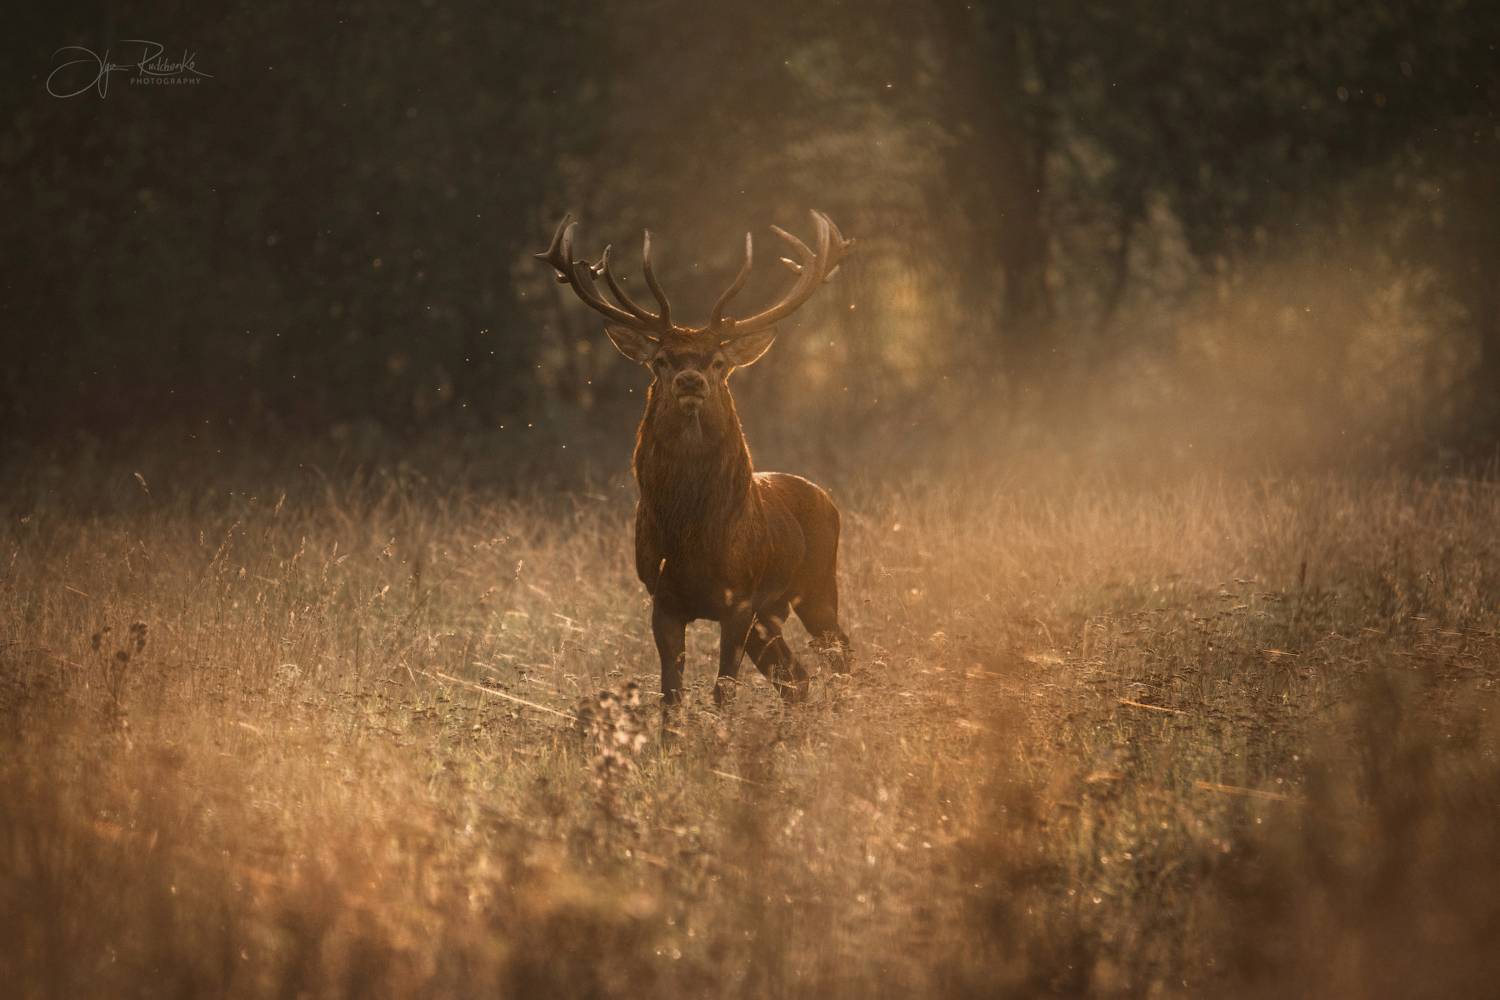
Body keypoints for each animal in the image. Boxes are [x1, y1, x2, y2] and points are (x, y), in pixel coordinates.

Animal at [537, 210, 855, 708]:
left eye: (718, 362)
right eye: (661, 360)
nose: (690, 380)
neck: (691, 536)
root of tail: (826, 497)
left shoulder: (739, 598)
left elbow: (724, 690)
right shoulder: (662, 598)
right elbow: (671, 694)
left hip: (818, 583)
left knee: (841, 654)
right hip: (773, 612)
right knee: (796, 677)